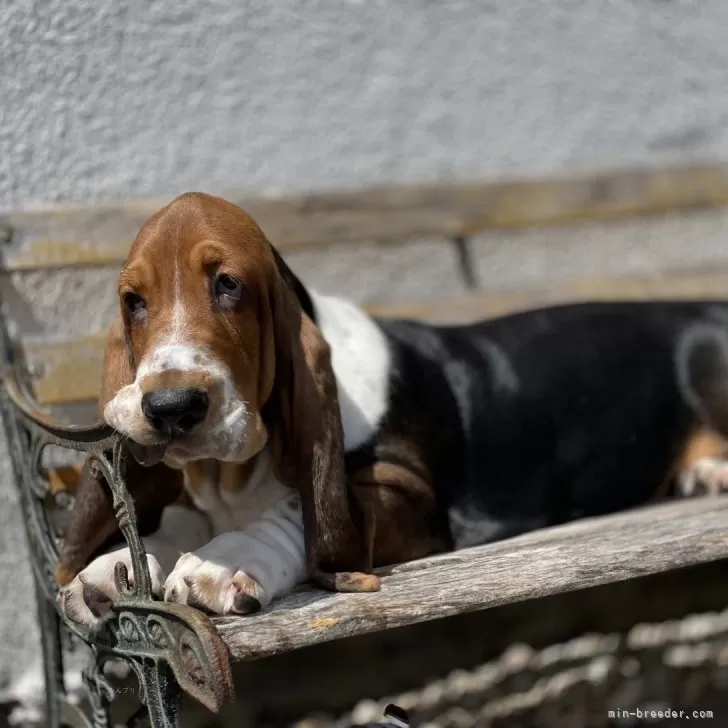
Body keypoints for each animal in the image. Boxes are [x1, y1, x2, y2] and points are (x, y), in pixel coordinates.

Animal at [58, 192, 728, 624]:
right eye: (133, 301)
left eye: (229, 285)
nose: (171, 406)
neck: (238, 474)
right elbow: (184, 520)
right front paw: (115, 567)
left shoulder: (409, 498)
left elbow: (302, 510)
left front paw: (227, 560)